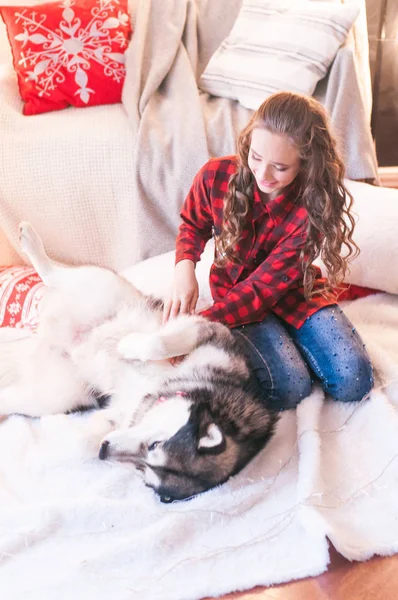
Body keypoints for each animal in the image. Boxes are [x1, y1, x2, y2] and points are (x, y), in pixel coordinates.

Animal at [0, 224, 276, 502]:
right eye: (154, 444)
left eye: (144, 473)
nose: (105, 451)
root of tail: (49, 337)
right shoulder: (212, 332)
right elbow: (160, 343)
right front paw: (128, 346)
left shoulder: (120, 415)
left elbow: (84, 441)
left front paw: (58, 435)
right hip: (103, 288)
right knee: (53, 275)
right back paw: (32, 244)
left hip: (57, 395)